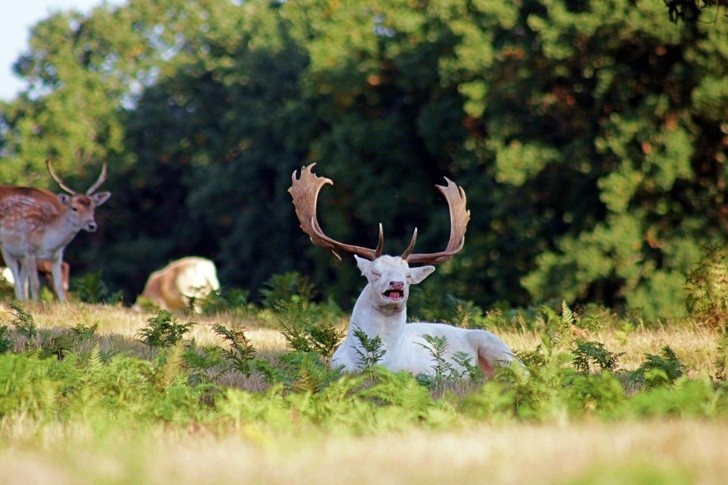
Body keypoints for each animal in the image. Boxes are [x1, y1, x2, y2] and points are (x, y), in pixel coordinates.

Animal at [0, 161, 111, 300]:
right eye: (74, 208)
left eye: (93, 208)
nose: (92, 225)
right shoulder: (30, 252)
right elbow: (35, 284)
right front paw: (35, 304)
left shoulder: (56, 256)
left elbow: (59, 287)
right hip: (7, 250)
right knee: (17, 278)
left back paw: (23, 301)